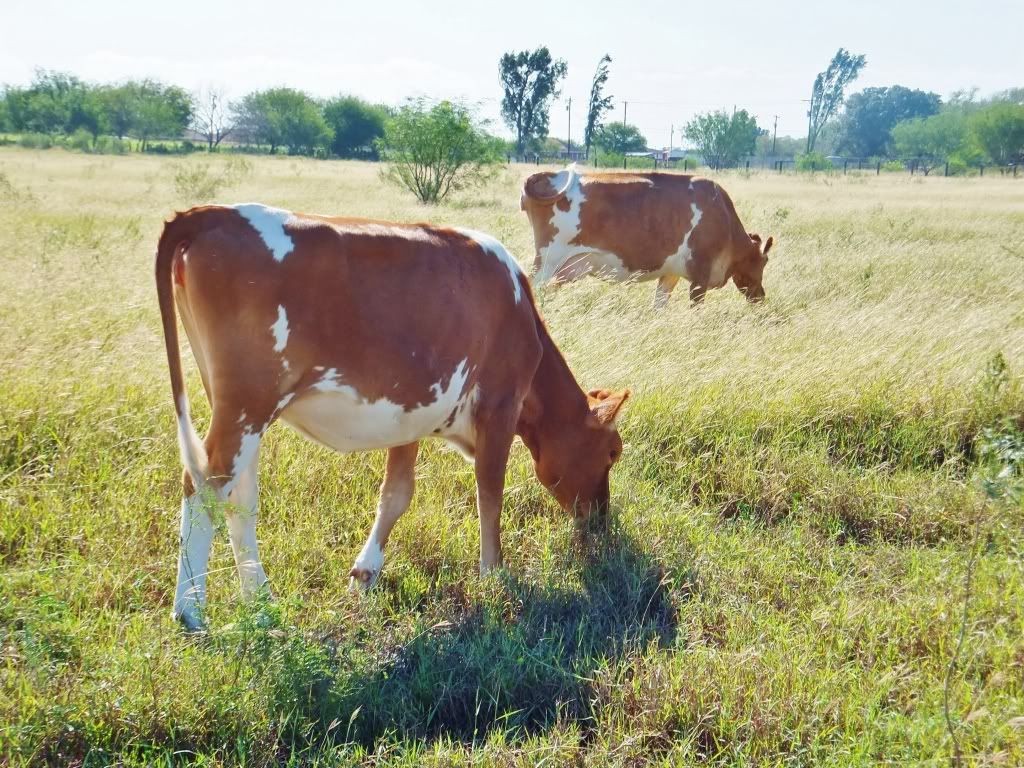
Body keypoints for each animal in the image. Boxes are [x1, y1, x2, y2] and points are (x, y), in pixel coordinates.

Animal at [156, 203, 630, 630]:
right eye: (612, 452)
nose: (601, 521)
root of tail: (213, 212)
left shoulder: (412, 412)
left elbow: (397, 493)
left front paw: (365, 572)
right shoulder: (499, 406)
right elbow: (490, 493)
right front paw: (494, 576)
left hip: (241, 408)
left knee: (239, 496)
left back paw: (260, 600)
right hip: (246, 404)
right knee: (204, 484)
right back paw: (191, 610)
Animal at [520, 164, 774, 307]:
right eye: (764, 262)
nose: (761, 296)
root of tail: (548, 175)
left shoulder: (670, 274)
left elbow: (659, 306)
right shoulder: (700, 276)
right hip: (547, 260)